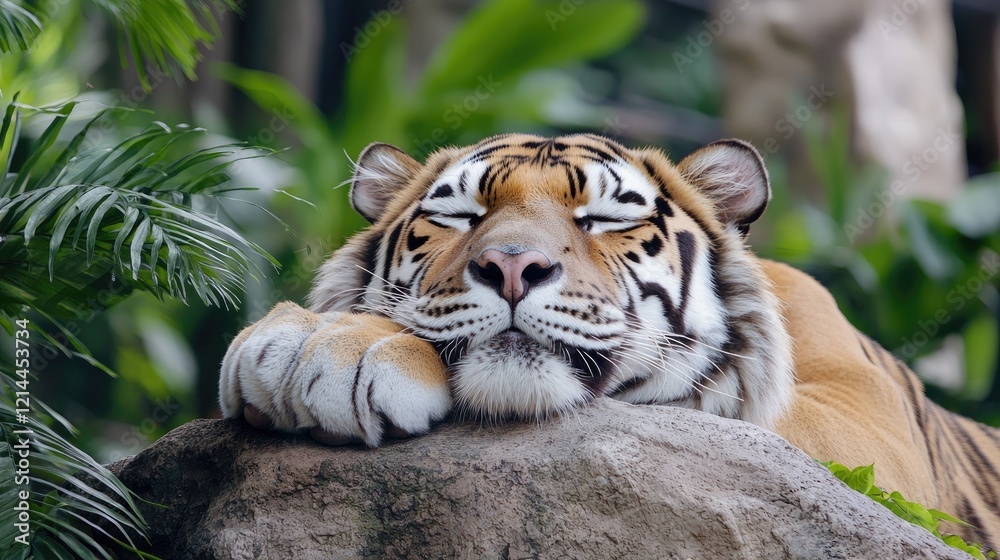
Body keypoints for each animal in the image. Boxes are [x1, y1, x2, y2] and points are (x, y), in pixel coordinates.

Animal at [218, 133, 1000, 548]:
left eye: (602, 218)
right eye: (461, 215)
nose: (512, 266)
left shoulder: (870, 436)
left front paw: (331, 343)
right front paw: (306, 337)